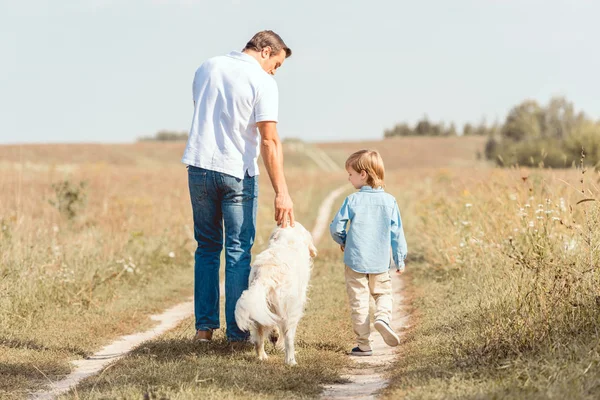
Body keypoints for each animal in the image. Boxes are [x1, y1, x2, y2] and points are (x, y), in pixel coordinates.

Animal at [236, 222, 318, 366]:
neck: (287, 241)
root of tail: (266, 274)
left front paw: (274, 335)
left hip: (258, 305)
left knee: (259, 337)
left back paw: (263, 356)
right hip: (290, 310)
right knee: (288, 338)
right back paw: (291, 361)